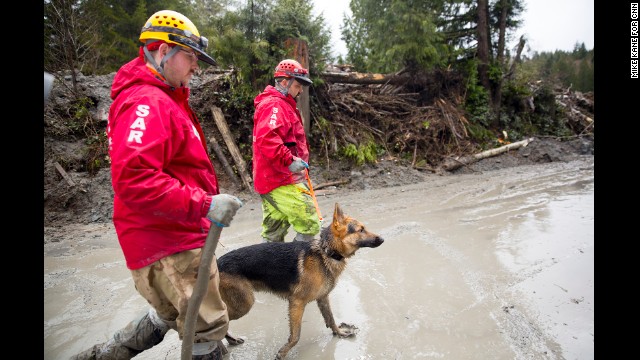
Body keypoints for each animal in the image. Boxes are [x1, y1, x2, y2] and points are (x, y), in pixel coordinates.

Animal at [215, 204, 384, 358]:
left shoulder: (323, 298)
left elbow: (331, 319)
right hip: (244, 304)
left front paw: (339, 332)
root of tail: (217, 262)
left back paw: (229, 342)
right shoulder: (297, 302)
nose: (382, 239)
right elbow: (296, 335)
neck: (326, 252)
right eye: (360, 230)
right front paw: (283, 352)